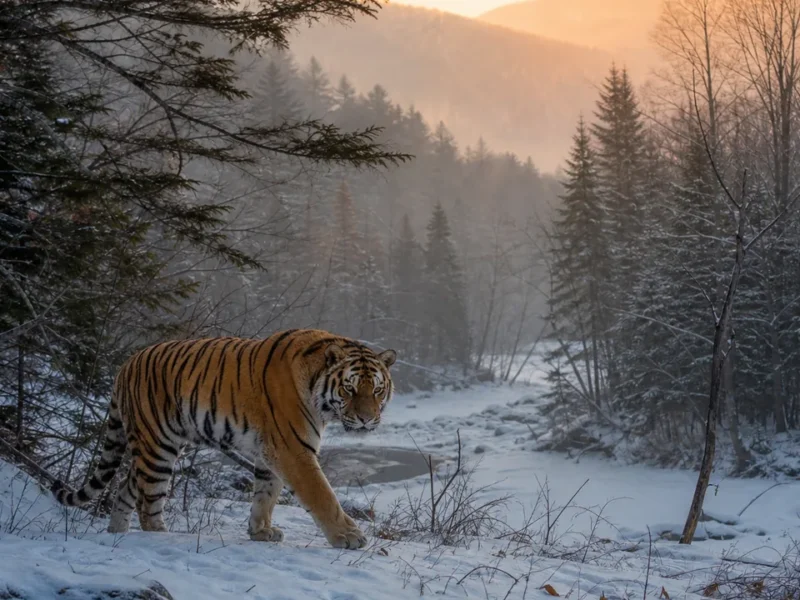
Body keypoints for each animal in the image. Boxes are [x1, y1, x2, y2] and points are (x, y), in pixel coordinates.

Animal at [51, 329, 397, 550]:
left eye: (377, 390)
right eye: (350, 388)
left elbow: (266, 493)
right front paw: (348, 537)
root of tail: (125, 364)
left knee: (124, 489)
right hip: (157, 448)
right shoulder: (293, 449)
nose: (367, 419)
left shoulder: (272, 450)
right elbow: (322, 495)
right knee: (147, 502)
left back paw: (116, 534)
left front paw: (261, 531)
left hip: (157, 445)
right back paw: (160, 536)